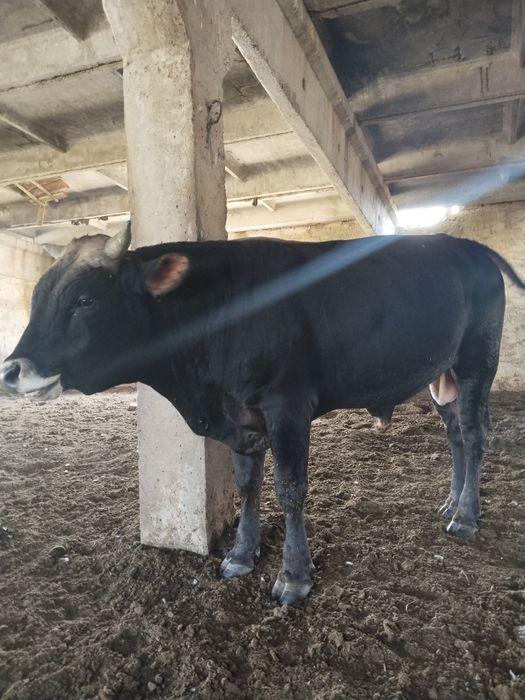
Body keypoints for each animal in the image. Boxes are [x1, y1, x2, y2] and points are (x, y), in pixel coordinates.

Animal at [1, 223, 524, 604]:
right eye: (37, 296)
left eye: (85, 300)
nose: (11, 370)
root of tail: (468, 246)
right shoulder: (240, 419)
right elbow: (248, 487)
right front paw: (240, 555)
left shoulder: (287, 405)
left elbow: (290, 490)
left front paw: (294, 575)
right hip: (442, 375)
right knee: (455, 434)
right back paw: (451, 503)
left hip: (477, 360)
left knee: (474, 434)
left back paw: (466, 517)